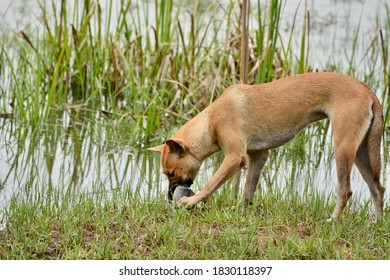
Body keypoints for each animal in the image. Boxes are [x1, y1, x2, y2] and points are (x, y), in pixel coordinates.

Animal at [149, 72, 384, 221]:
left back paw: (332, 220)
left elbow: (210, 185)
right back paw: (377, 223)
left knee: (346, 191)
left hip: (343, 148)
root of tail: (369, 93)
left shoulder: (235, 158)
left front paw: (191, 201)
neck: (210, 121)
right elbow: (247, 190)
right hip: (361, 153)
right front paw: (240, 211)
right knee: (378, 189)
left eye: (171, 173)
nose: (169, 197)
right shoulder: (259, 156)